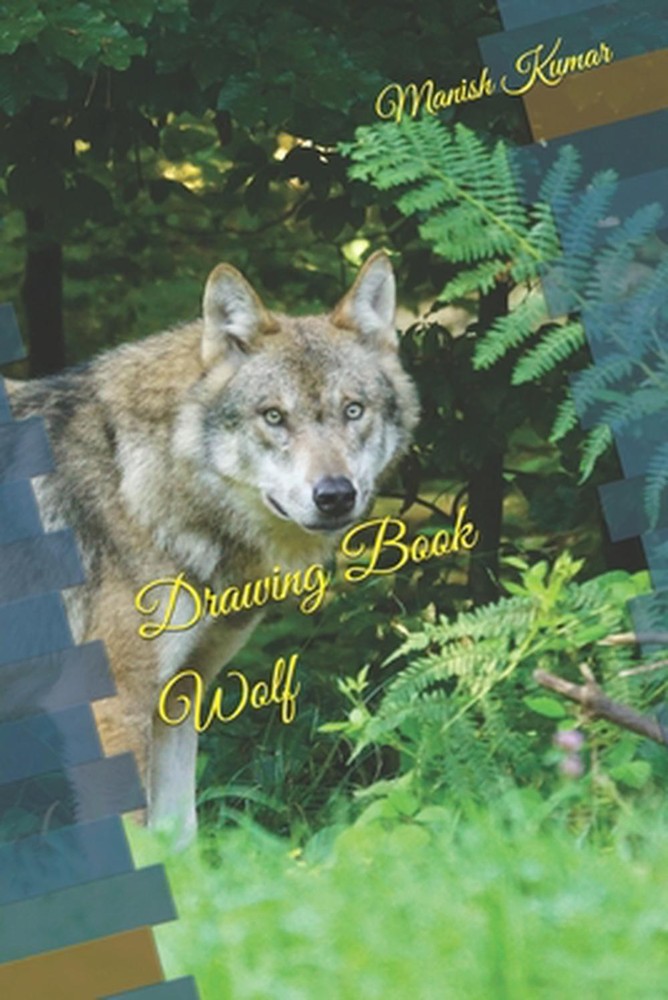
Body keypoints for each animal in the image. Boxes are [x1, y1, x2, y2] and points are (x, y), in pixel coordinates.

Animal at [7, 252, 419, 839]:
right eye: (274, 416)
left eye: (353, 410)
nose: (335, 495)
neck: (138, 477)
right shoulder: (113, 703)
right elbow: (139, 840)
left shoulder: (179, 696)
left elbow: (181, 836)